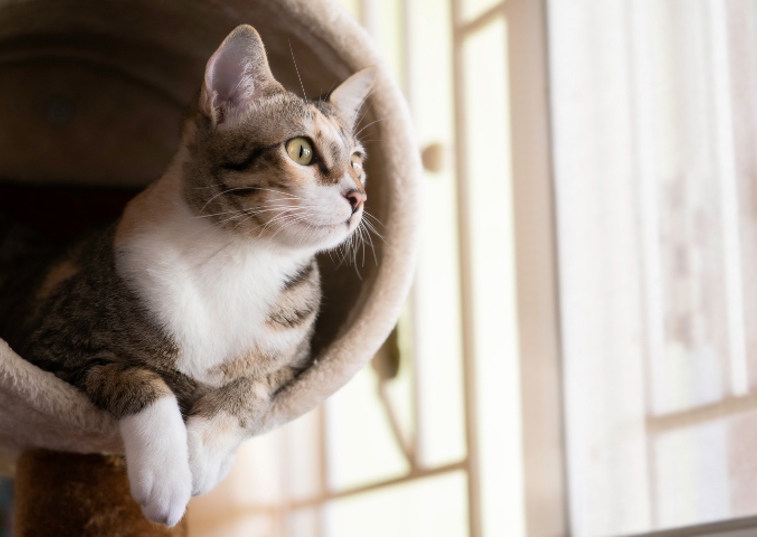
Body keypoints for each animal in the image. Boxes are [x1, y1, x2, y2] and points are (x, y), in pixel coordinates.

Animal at [0, 24, 376, 524]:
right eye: (300, 150)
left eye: (357, 160)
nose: (358, 197)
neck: (239, 256)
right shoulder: (51, 347)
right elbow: (137, 376)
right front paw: (166, 477)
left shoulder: (297, 363)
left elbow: (252, 383)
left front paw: (205, 454)